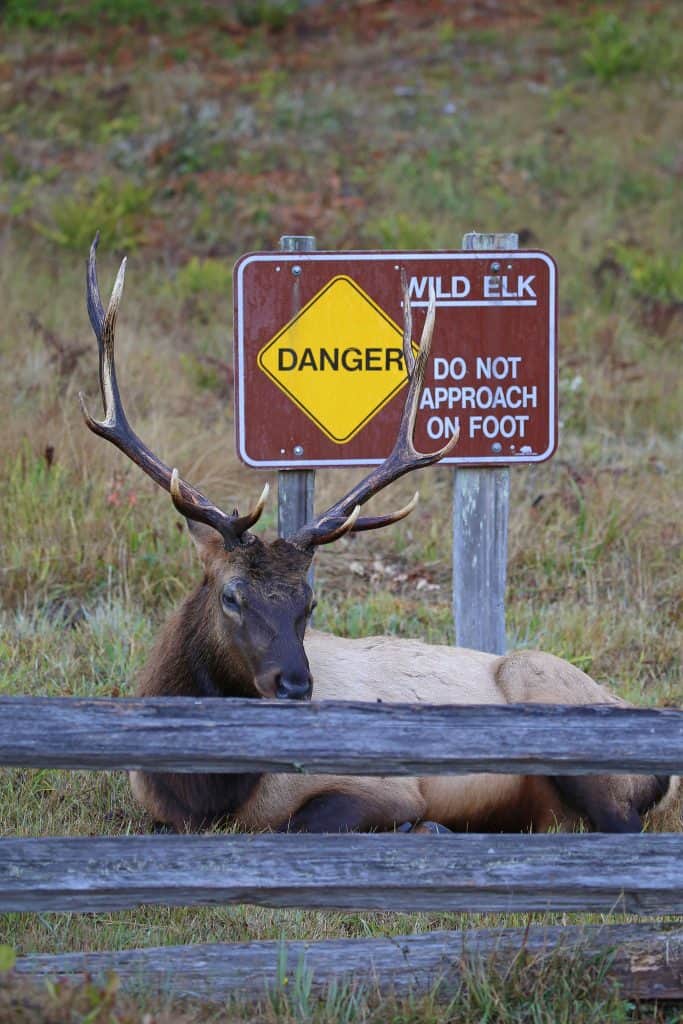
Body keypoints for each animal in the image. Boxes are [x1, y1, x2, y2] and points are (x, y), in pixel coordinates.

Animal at [81, 235, 679, 835]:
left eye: (310, 601)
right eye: (232, 595)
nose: (297, 687)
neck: (204, 794)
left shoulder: (387, 789)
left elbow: (307, 824)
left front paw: (422, 827)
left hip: (550, 697)